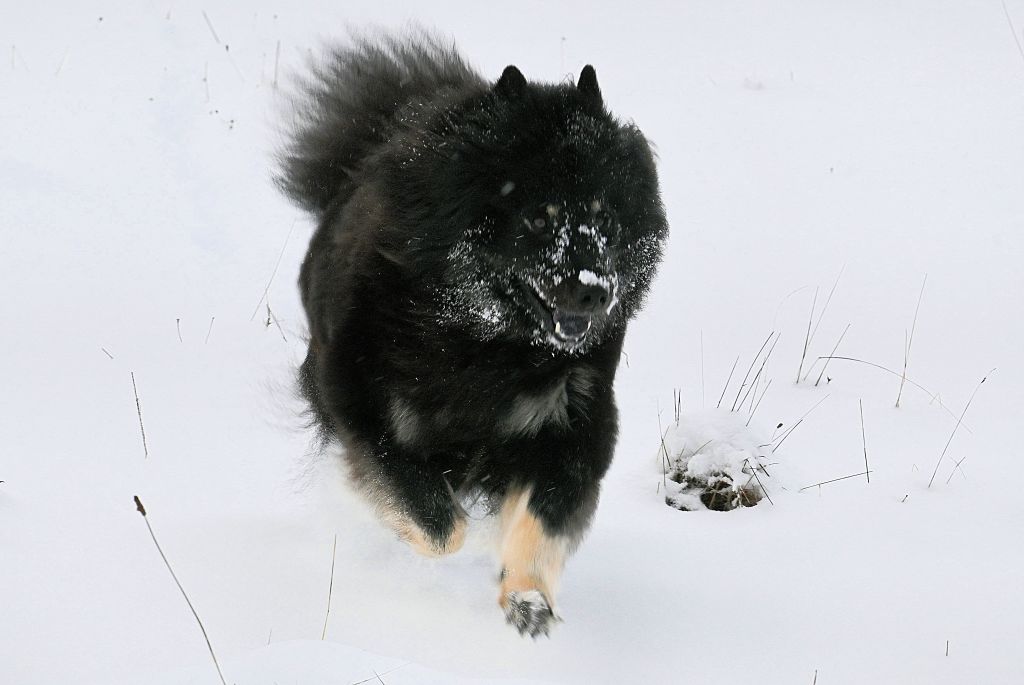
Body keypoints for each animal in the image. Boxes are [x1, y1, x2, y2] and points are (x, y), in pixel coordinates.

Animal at [278, 32, 667, 637]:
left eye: (604, 215)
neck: (485, 342)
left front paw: (527, 597)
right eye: (537, 218)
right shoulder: (365, 404)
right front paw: (463, 536)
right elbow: (435, 521)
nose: (594, 291)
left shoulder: (572, 421)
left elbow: (543, 517)